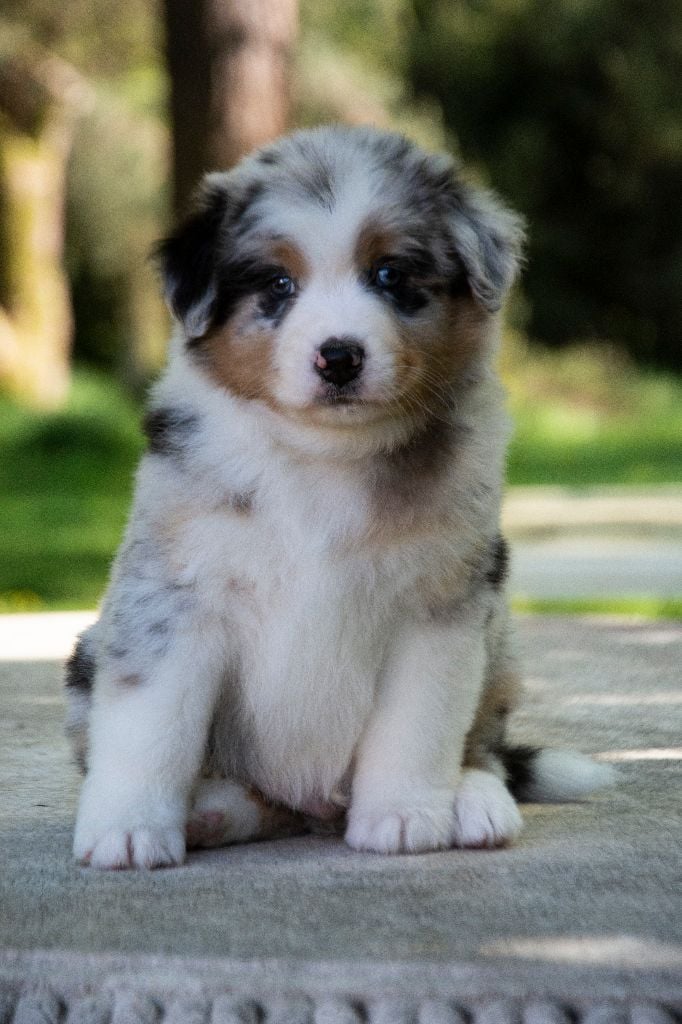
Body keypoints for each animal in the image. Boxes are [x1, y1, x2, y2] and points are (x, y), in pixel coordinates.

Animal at [66, 123, 614, 868]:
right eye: (278, 284)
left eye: (390, 275)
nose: (339, 356)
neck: (323, 456)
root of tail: (312, 807)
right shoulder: (172, 595)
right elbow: (149, 725)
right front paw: (127, 828)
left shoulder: (437, 606)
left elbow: (417, 727)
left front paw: (405, 817)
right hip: (85, 657)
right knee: (254, 798)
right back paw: (211, 807)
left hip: (498, 638)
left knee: (484, 749)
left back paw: (474, 802)